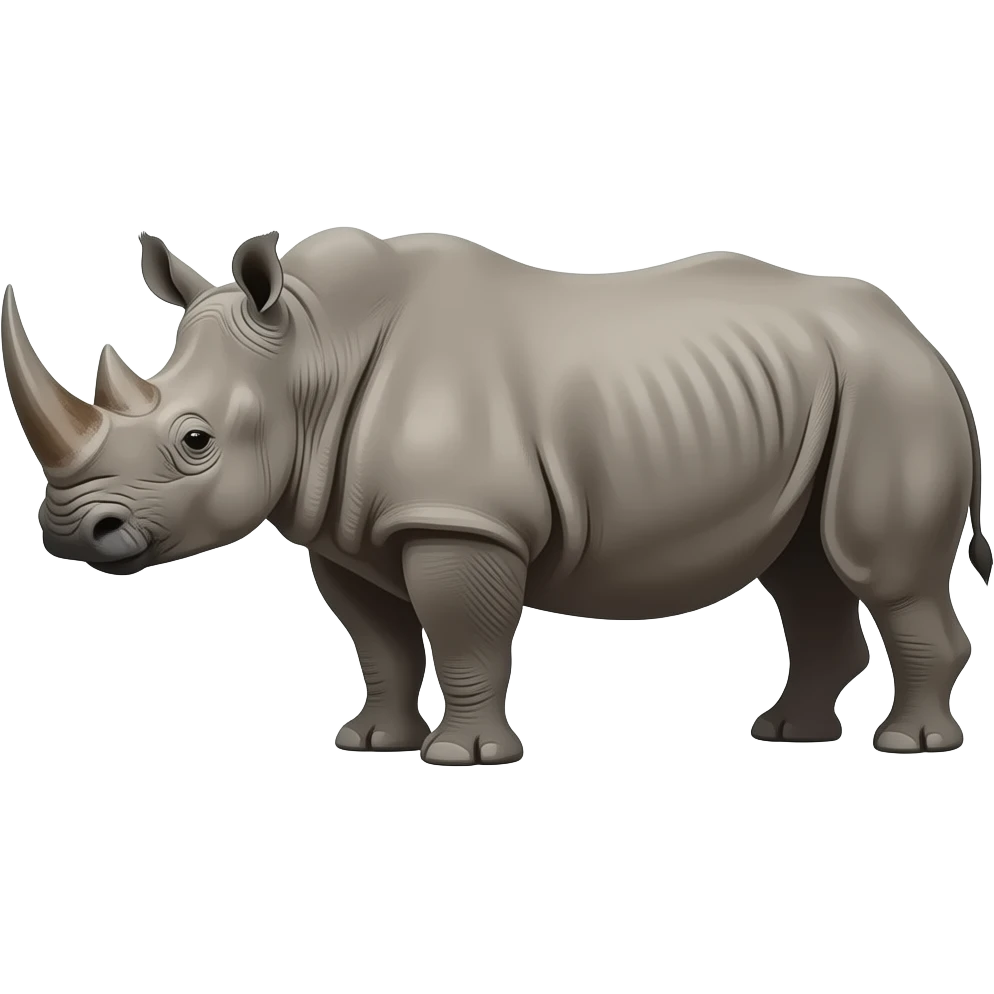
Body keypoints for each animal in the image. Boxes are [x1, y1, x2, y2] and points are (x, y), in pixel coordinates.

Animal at [2, 230, 989, 763]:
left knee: (880, 571)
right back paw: (787, 735)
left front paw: (463, 757)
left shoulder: (461, 520)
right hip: (825, 393)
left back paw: (908, 746)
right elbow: (380, 642)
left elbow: (461, 633)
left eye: (196, 441)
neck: (310, 352)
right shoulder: (345, 525)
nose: (71, 529)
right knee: (804, 568)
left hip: (889, 394)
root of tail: (926, 342)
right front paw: (371, 742)